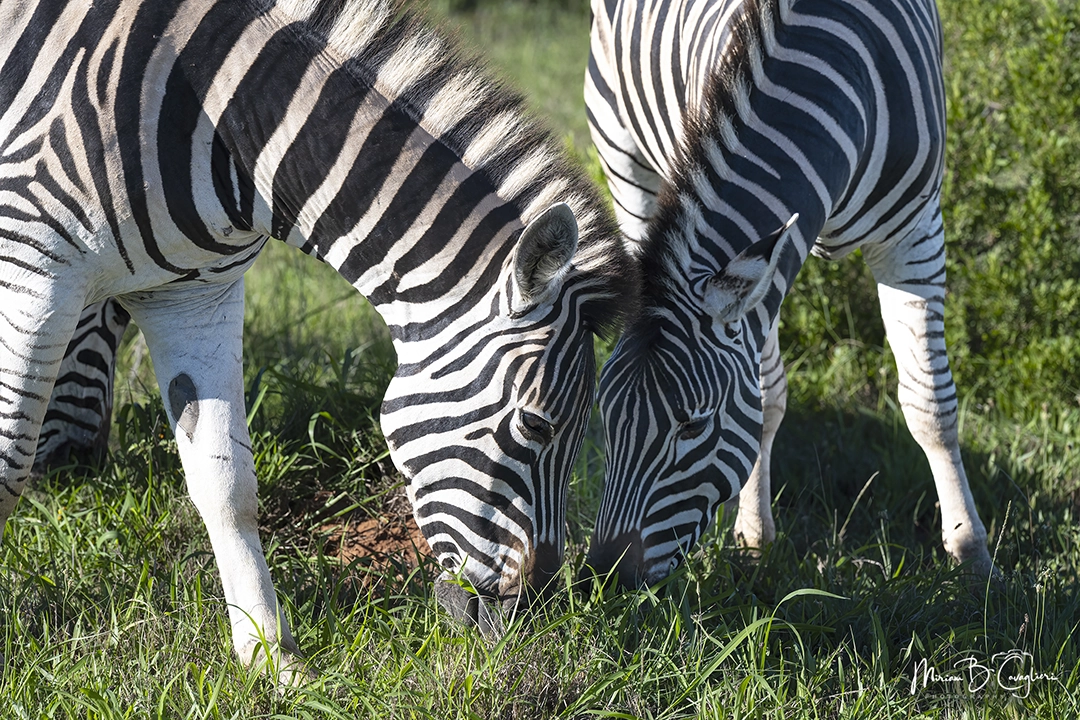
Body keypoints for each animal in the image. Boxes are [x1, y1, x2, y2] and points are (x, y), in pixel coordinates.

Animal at [0, 0, 633, 678]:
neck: (219, 117)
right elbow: (7, 468)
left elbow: (228, 484)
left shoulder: (194, 295)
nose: (536, 616)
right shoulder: (34, 269)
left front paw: (270, 656)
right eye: (537, 426)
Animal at [583, 0, 993, 587]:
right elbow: (767, 396)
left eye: (694, 425)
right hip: (621, 153)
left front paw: (971, 554)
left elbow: (930, 401)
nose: (604, 577)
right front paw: (755, 538)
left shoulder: (913, 235)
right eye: (606, 418)